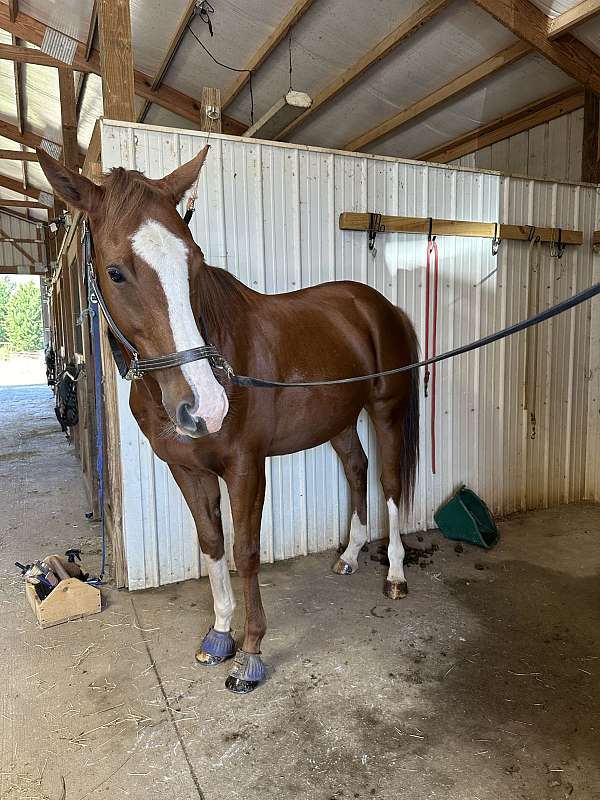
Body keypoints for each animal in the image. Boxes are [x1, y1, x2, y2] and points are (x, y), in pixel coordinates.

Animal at [37, 145, 420, 692]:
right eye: (115, 272)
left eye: (193, 263)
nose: (206, 407)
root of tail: (380, 306)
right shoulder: (186, 469)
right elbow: (212, 544)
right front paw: (219, 635)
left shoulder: (245, 466)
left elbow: (245, 551)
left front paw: (251, 653)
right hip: (341, 421)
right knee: (356, 469)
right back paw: (349, 556)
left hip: (385, 412)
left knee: (388, 482)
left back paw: (394, 576)